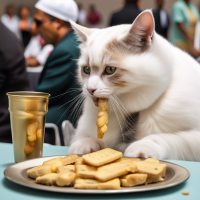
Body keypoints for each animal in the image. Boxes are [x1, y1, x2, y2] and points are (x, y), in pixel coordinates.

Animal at [68, 10, 200, 162]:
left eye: (110, 70)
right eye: (86, 69)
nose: (89, 89)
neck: (132, 113)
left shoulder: (194, 137)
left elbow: (167, 137)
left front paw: (143, 147)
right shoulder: (83, 129)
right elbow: (82, 138)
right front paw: (85, 145)